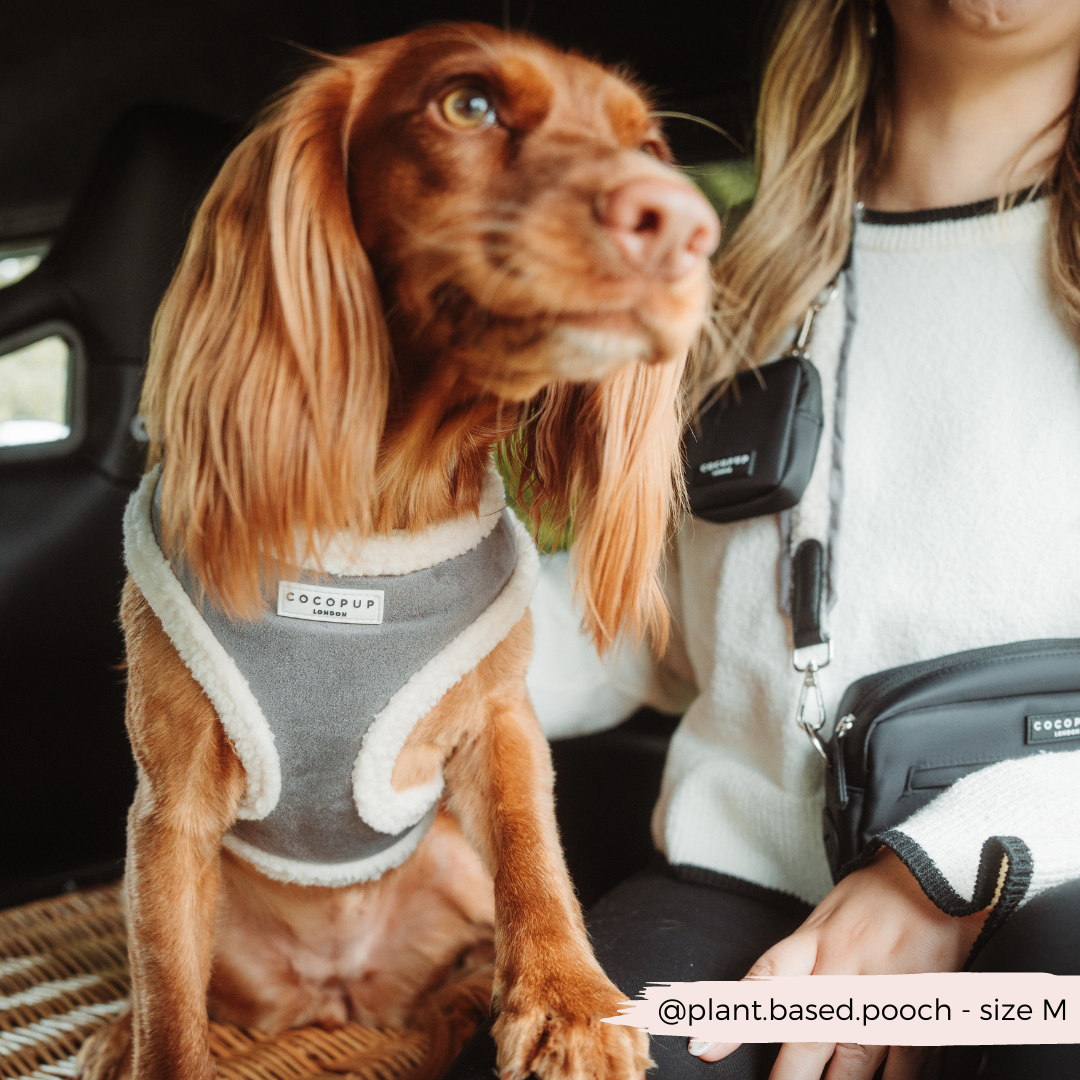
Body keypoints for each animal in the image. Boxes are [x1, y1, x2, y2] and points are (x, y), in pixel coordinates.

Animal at [78, 23, 717, 1080]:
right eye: (468, 104)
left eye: (652, 147)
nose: (687, 226)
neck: (371, 520)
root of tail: (339, 989)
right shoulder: (170, 807)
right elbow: (168, 997)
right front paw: (148, 1043)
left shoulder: (500, 723)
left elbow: (535, 859)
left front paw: (568, 1001)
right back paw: (114, 1035)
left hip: (447, 862)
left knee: (458, 960)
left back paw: (461, 999)